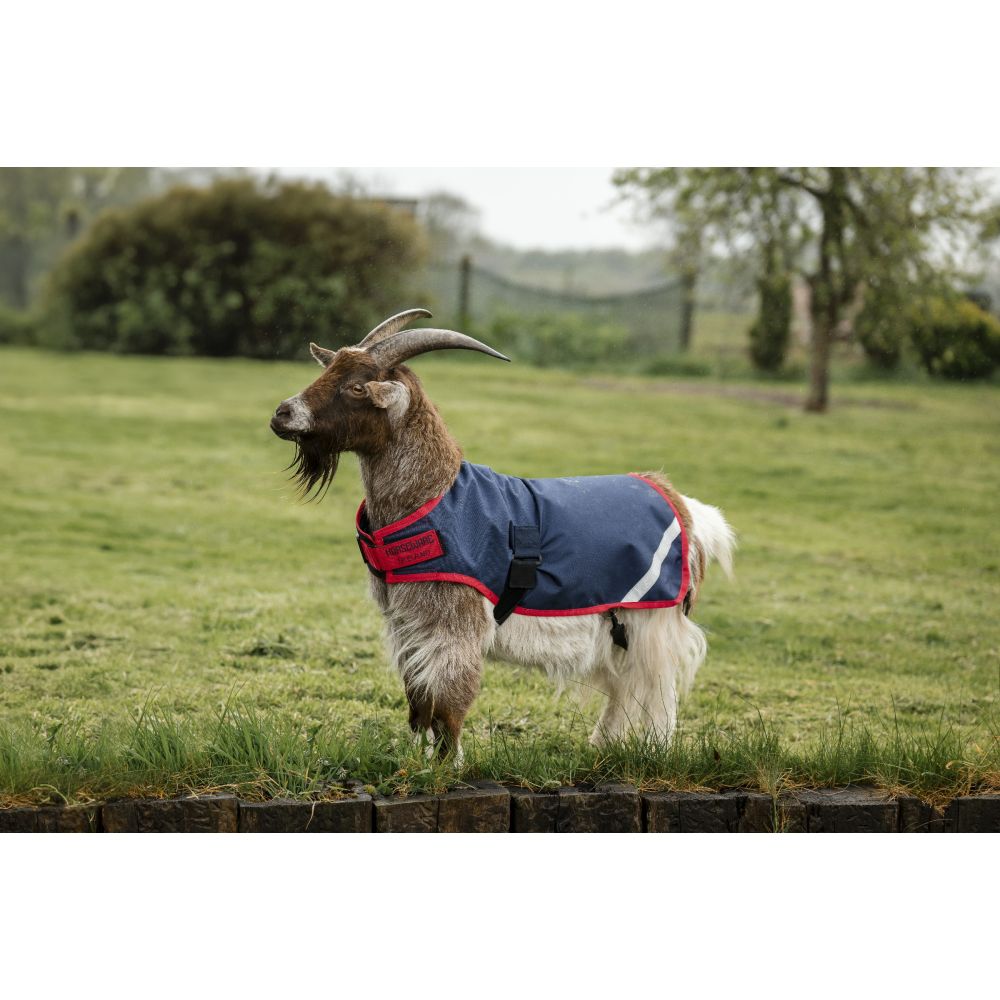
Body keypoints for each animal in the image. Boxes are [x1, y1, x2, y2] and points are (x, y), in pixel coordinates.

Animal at [270, 309, 735, 756]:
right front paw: (413, 762)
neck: (432, 495)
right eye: (329, 371)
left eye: (356, 387)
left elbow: (448, 700)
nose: (282, 414)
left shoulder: (453, 620)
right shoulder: (408, 623)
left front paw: (446, 766)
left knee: (658, 690)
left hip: (654, 621)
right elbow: (418, 700)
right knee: (625, 687)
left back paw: (654, 752)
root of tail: (683, 506)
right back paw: (601, 745)